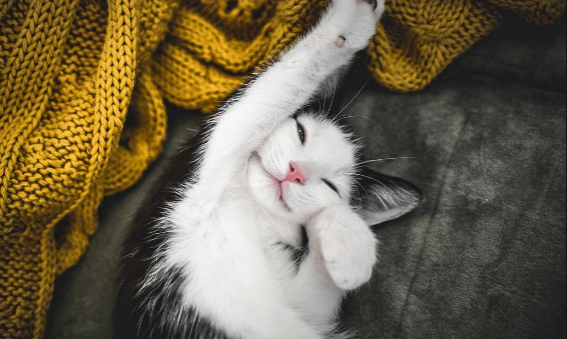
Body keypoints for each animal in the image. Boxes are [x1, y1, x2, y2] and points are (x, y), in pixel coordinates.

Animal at [113, 1, 420, 338]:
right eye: (300, 132)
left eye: (330, 185)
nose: (296, 172)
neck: (255, 213)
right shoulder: (199, 168)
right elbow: (276, 87)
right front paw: (352, 21)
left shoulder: (301, 312)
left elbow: (313, 299)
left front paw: (349, 252)